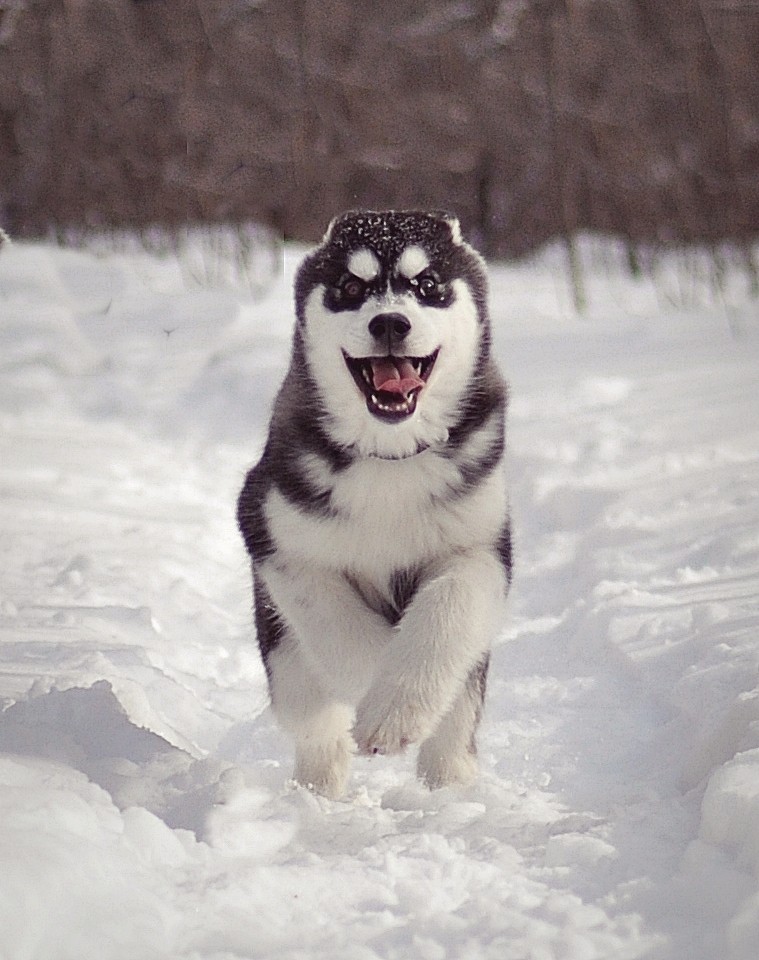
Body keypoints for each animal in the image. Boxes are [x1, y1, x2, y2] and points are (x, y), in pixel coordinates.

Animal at [238, 212, 510, 804]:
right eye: (350, 287)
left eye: (427, 285)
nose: (390, 323)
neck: (390, 460)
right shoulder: (273, 534)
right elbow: (342, 630)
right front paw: (381, 705)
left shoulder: (480, 546)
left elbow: (447, 610)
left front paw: (397, 710)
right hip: (284, 655)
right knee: (314, 722)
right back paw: (317, 791)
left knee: (457, 722)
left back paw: (449, 788)